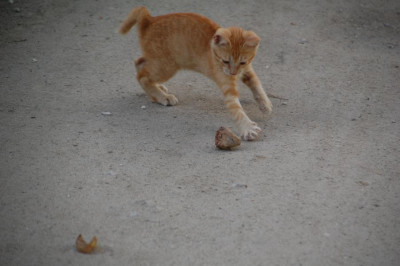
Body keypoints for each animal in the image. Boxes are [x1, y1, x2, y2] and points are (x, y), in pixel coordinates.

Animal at [120, 6, 274, 140]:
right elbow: (237, 109)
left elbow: (256, 84)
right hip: (167, 66)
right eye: (225, 61)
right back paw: (161, 96)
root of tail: (149, 19)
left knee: (139, 62)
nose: (233, 73)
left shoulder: (247, 70)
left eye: (242, 62)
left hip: (159, 63)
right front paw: (247, 127)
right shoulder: (228, 86)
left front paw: (264, 103)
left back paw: (158, 89)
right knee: (142, 76)